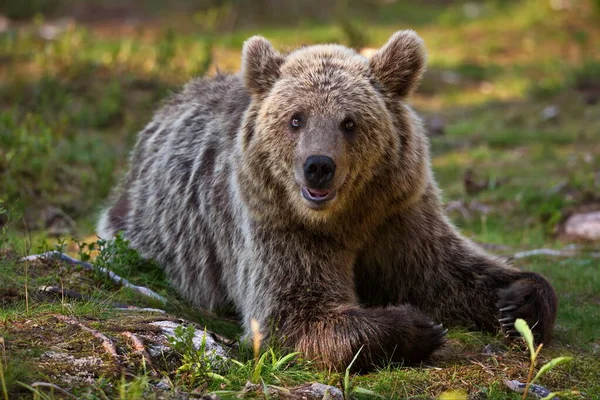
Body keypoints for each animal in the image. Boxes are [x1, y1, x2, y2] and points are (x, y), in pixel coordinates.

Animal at [98, 29, 556, 370]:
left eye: (349, 122)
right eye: (295, 118)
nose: (318, 166)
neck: (346, 217)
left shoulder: (399, 213)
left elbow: (445, 270)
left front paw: (518, 299)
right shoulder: (276, 224)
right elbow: (294, 313)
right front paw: (418, 326)